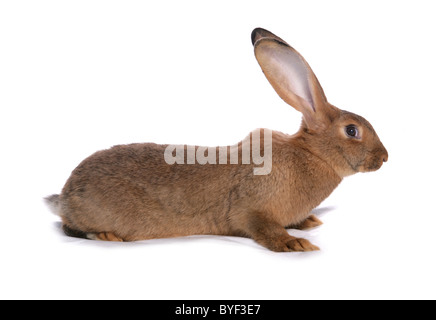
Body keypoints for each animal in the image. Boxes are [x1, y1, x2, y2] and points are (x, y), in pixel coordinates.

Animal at [45, 28, 388, 252]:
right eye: (352, 131)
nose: (384, 157)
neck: (311, 154)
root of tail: (65, 194)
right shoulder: (251, 209)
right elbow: (261, 227)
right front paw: (295, 243)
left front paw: (308, 223)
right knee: (68, 227)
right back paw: (105, 236)